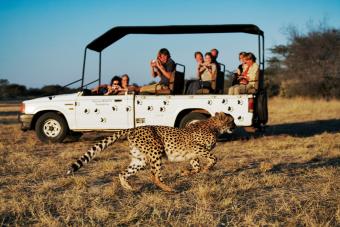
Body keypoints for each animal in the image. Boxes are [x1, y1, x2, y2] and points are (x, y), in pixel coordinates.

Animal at [66, 111, 236, 192]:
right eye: (231, 120)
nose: (235, 126)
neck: (214, 126)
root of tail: (133, 128)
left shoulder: (194, 155)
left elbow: (197, 168)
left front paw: (185, 172)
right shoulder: (196, 147)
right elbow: (213, 158)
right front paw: (208, 167)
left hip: (140, 159)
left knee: (123, 172)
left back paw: (128, 188)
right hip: (156, 150)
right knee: (154, 175)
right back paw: (170, 189)